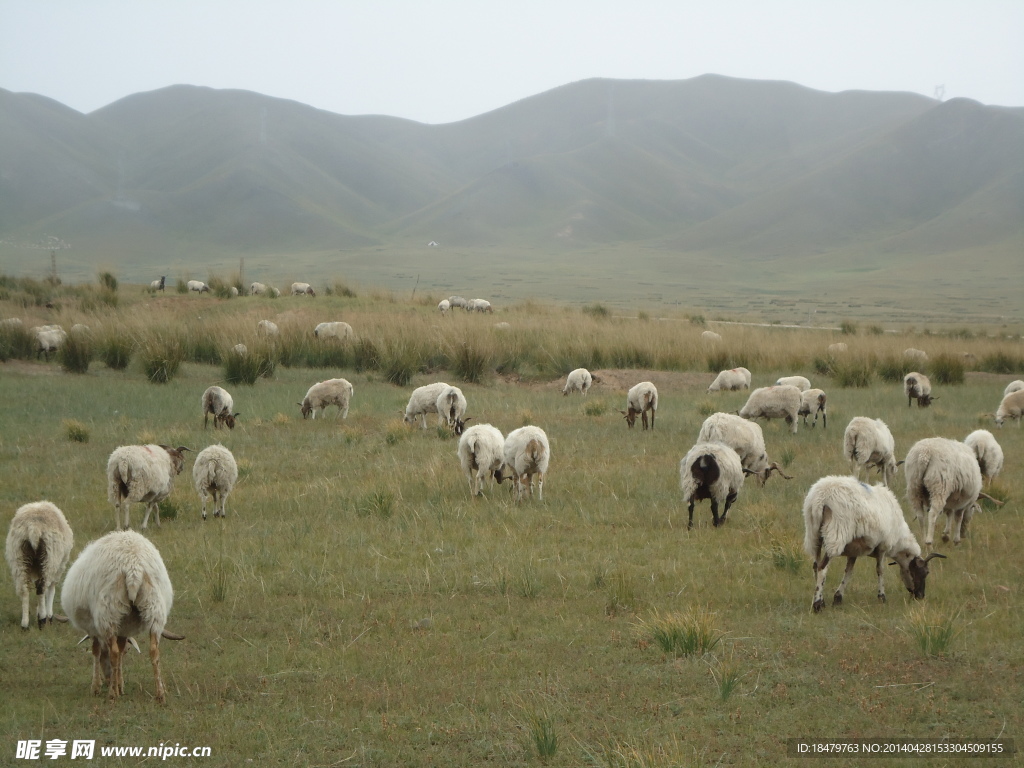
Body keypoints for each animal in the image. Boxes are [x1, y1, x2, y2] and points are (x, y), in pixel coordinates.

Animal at [4, 499, 74, 630]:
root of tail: (33, 527)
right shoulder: (58, 568)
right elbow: (51, 589)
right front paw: (48, 615)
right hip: (49, 558)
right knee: (42, 588)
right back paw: (42, 619)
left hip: (19, 558)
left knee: (25, 590)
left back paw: (25, 624)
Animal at [60, 536, 184, 704]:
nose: (107, 679)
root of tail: (134, 568)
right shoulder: (125, 628)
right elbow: (120, 653)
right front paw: (119, 685)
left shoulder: (94, 629)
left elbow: (97, 651)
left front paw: (98, 687)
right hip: (155, 608)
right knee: (154, 651)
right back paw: (160, 694)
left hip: (108, 611)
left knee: (113, 652)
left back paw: (112, 695)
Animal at [798, 475, 942, 614]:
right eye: (925, 572)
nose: (920, 596)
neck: (899, 539)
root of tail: (820, 498)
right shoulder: (883, 546)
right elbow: (880, 570)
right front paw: (882, 597)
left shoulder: (853, 550)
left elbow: (849, 572)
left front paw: (838, 598)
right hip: (836, 534)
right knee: (822, 568)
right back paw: (817, 605)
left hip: (813, 534)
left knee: (816, 566)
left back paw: (820, 600)